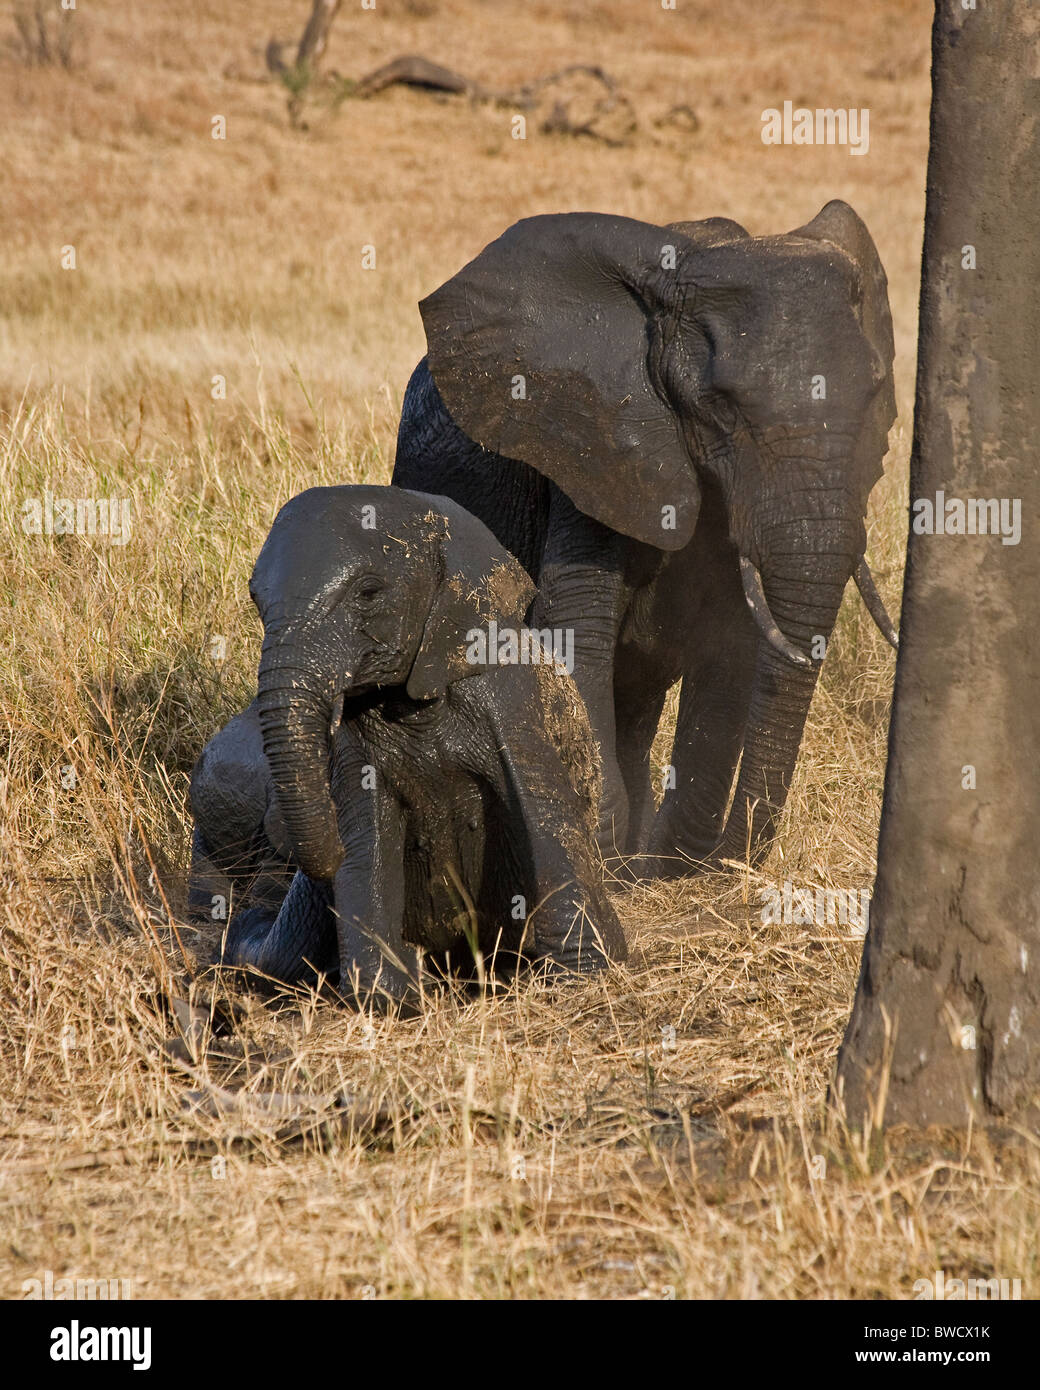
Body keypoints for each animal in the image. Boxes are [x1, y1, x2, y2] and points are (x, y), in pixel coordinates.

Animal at [188, 485, 626, 1007]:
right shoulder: (354, 747)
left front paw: (587, 979)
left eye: (368, 592)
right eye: (256, 598)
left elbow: (545, 811)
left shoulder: (509, 702)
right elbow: (367, 840)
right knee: (276, 955)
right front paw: (389, 1001)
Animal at [391, 202, 900, 875]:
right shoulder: (590, 441)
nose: (736, 865)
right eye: (721, 406)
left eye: (875, 394)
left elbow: (732, 643)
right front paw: (607, 860)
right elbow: (576, 623)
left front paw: (671, 868)